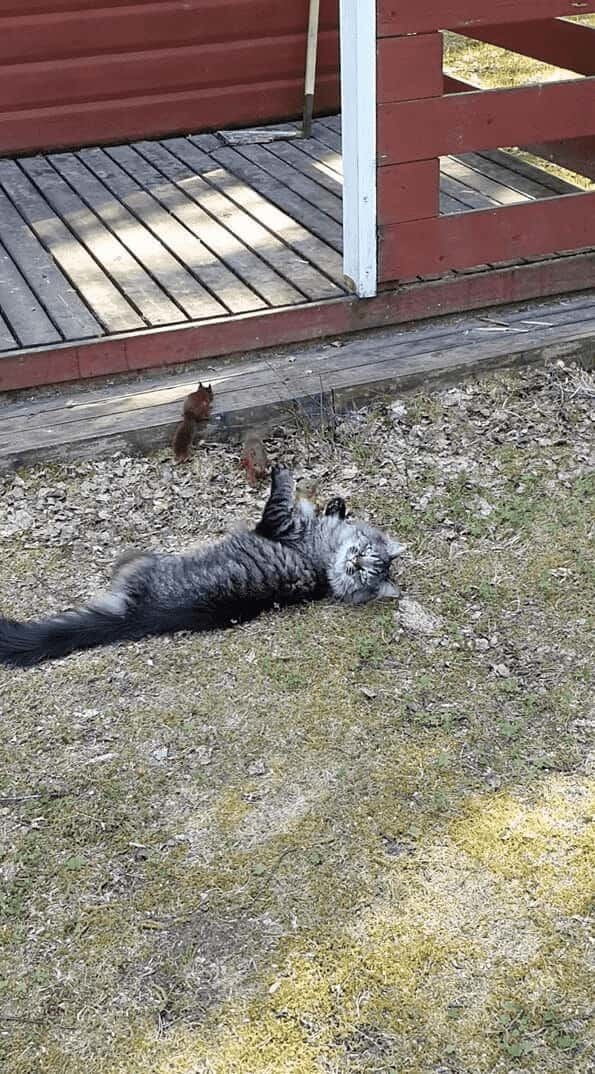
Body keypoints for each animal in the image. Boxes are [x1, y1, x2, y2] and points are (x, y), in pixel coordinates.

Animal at [0, 466, 401, 665]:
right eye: (365, 556)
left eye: (365, 571)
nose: (353, 562)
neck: (324, 556)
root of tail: (137, 619)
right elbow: (320, 503)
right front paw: (336, 503)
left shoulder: (277, 523)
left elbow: (282, 490)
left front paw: (284, 471)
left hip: (140, 562)